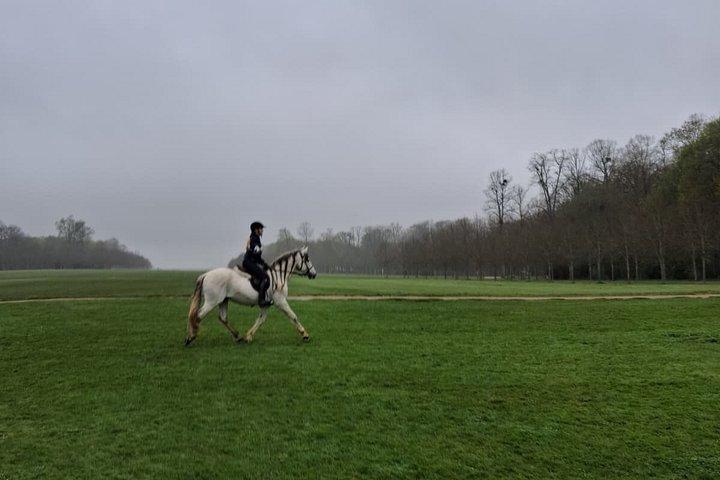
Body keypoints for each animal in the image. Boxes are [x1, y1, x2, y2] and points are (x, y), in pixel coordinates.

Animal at [184, 246, 317, 346]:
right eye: (307, 259)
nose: (314, 274)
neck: (278, 276)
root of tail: (206, 274)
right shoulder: (280, 301)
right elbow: (293, 316)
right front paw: (305, 334)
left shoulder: (266, 305)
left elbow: (261, 320)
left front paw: (248, 336)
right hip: (212, 301)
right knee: (197, 315)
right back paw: (191, 337)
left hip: (223, 300)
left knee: (222, 318)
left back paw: (237, 336)